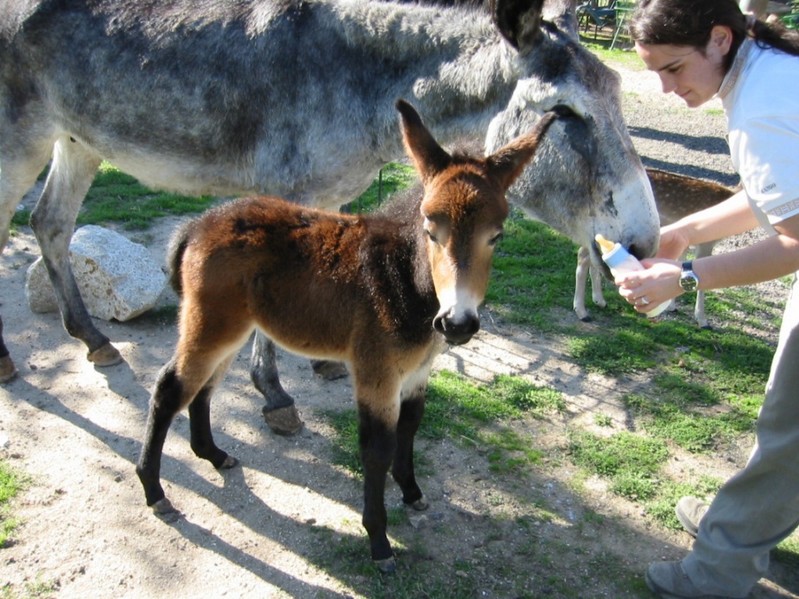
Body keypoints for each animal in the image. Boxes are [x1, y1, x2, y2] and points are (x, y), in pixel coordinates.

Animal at [138, 101, 564, 576]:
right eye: (430, 229)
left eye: (497, 235)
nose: (457, 323)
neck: (403, 279)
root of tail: (198, 224)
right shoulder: (376, 373)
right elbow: (377, 447)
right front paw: (379, 541)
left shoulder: (417, 373)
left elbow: (410, 427)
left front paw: (412, 493)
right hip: (210, 325)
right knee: (170, 387)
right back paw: (156, 492)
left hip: (232, 329)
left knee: (204, 388)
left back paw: (212, 454)